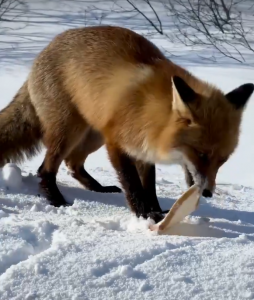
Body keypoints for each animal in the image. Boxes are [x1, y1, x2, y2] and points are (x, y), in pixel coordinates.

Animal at [0, 25, 253, 223]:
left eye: (222, 160)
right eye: (201, 154)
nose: (208, 193)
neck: (152, 112)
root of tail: (44, 50)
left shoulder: (144, 148)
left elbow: (149, 186)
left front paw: (156, 210)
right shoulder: (117, 143)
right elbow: (133, 185)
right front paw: (145, 215)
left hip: (93, 135)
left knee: (73, 163)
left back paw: (99, 189)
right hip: (70, 131)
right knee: (45, 169)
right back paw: (57, 200)